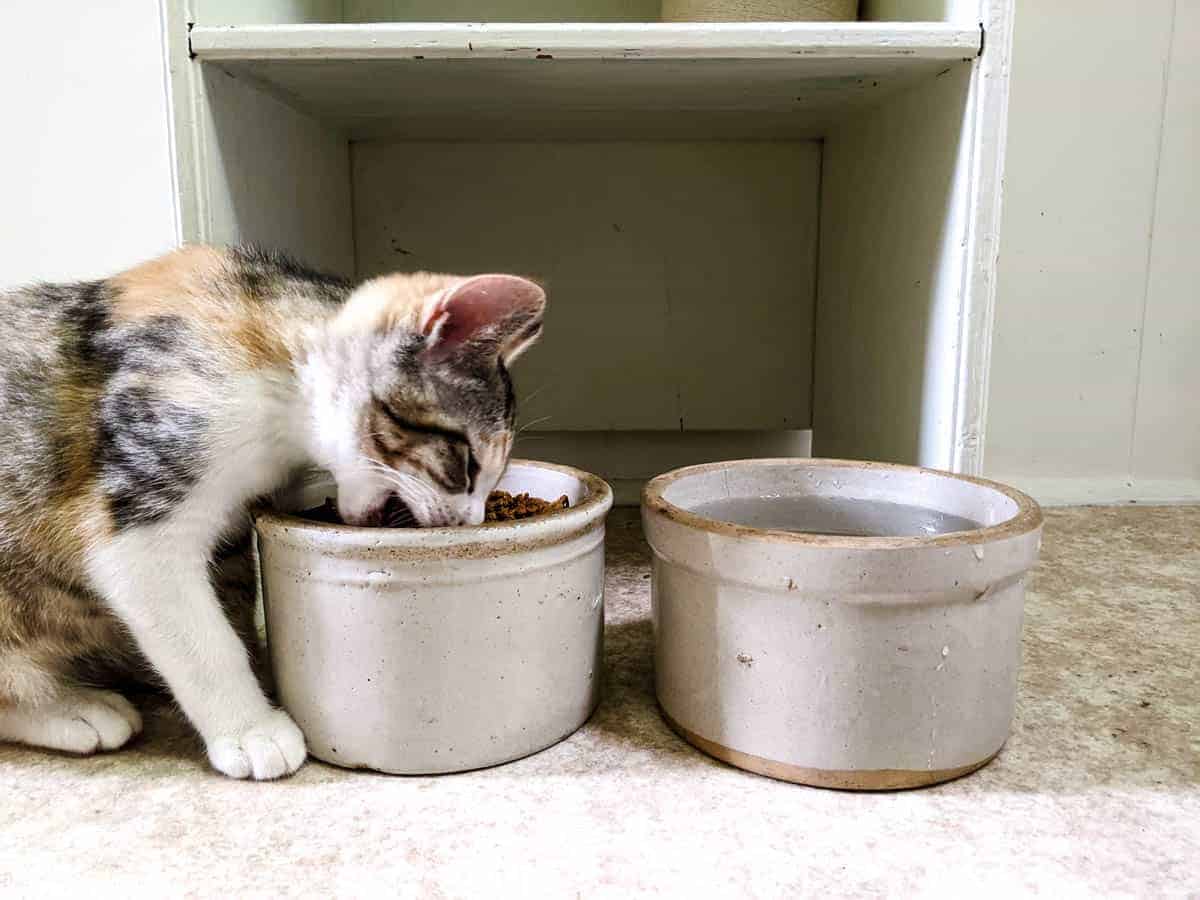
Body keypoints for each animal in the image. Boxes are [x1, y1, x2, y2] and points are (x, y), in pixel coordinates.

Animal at [0, 244, 544, 782]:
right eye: (469, 463)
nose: (470, 523)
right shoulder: (140, 511)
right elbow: (201, 636)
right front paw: (250, 729)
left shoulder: (233, 529)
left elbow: (232, 601)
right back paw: (71, 710)